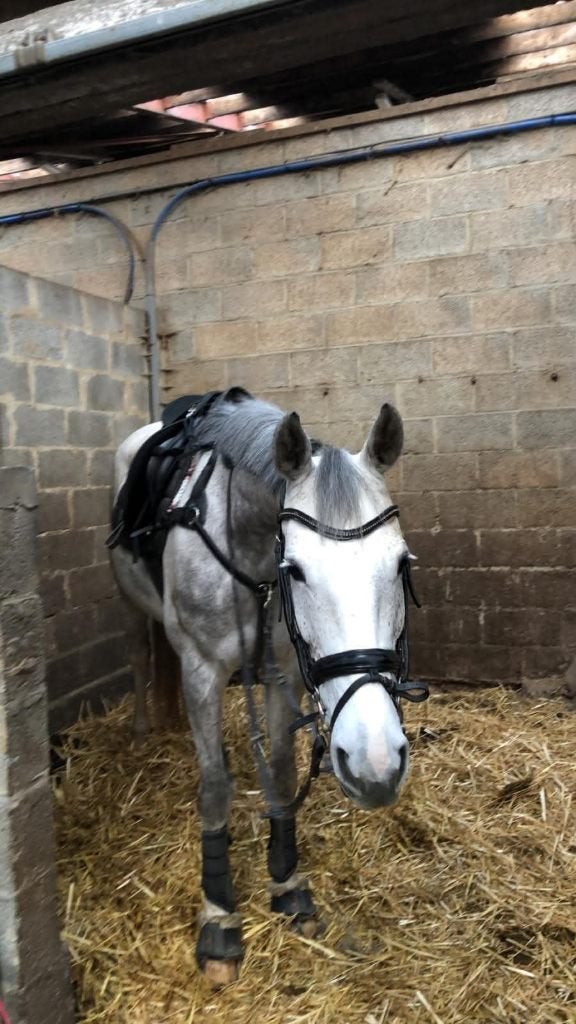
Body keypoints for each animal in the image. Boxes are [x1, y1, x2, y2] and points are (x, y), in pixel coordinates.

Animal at [109, 387, 427, 984]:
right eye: (295, 569)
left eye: (401, 564)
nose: (375, 766)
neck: (250, 548)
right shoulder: (203, 669)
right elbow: (215, 785)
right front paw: (218, 916)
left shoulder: (286, 669)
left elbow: (280, 772)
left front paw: (287, 883)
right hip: (131, 604)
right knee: (140, 655)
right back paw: (142, 732)